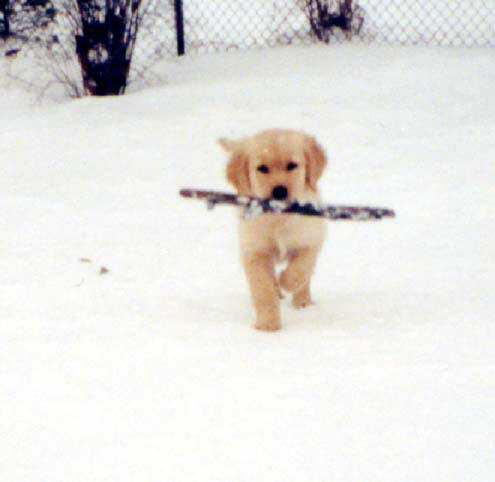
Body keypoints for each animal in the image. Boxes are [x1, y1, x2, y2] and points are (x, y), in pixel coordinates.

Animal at [219, 128, 328, 332]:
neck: (279, 218)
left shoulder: (311, 239)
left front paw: (285, 280)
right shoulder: (254, 252)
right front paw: (267, 324)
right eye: (262, 168)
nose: (279, 191)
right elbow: (262, 289)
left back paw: (302, 302)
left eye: (292, 165)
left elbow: (301, 269)